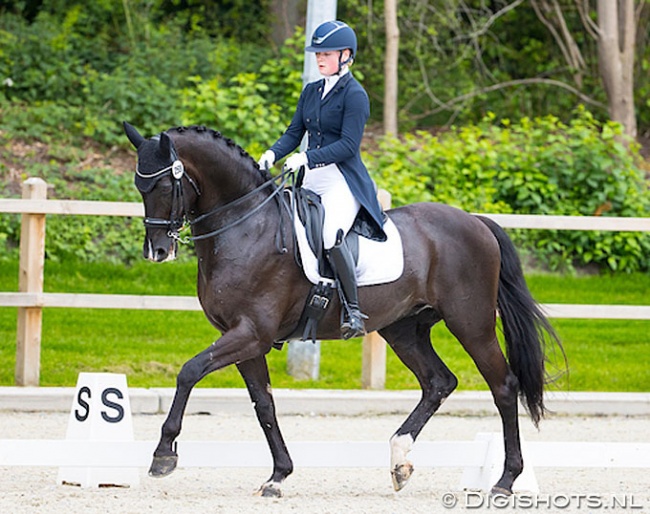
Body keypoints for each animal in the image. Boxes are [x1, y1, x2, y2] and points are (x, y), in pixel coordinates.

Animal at [124, 121, 560, 496]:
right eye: (138, 185)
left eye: (163, 183)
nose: (156, 251)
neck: (247, 227)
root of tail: (475, 221)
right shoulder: (243, 338)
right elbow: (264, 403)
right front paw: (278, 475)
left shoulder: (250, 333)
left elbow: (188, 372)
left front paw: (163, 456)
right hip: (404, 329)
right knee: (439, 382)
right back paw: (399, 461)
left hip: (471, 324)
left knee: (503, 387)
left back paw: (505, 480)